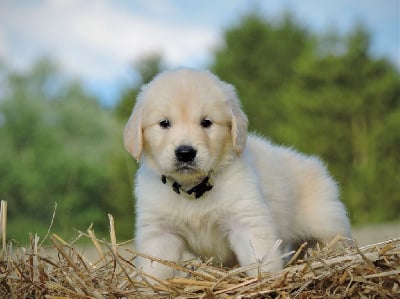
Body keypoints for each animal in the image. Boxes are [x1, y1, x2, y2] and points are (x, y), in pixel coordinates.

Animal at [123, 69, 352, 280]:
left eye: (206, 122)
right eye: (164, 123)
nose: (185, 153)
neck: (194, 189)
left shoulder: (247, 222)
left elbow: (259, 258)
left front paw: (264, 280)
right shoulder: (159, 233)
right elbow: (155, 269)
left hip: (327, 222)